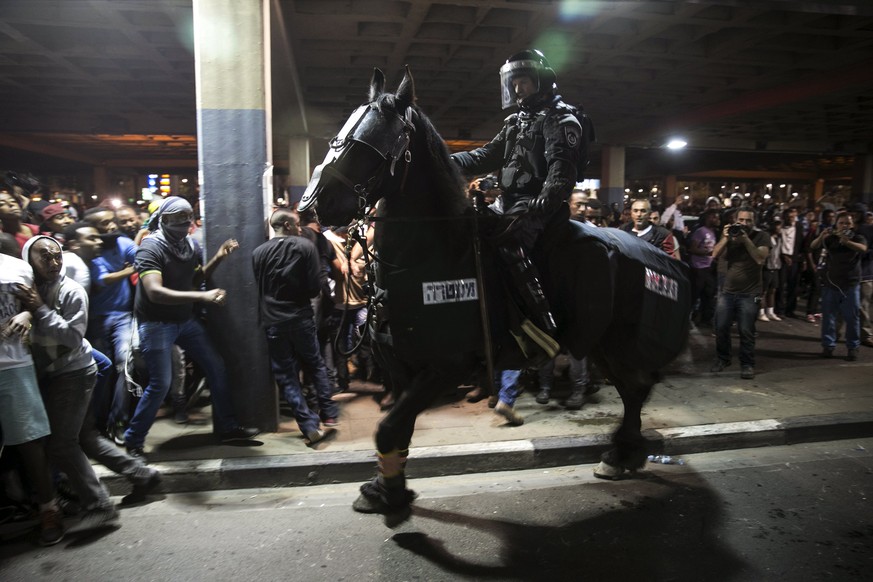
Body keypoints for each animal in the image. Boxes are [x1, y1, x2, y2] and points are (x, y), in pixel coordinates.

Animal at [300, 67, 688, 516]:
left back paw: (622, 452)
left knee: (636, 388)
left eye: (372, 144)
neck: (434, 254)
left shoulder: (446, 368)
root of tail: (666, 258)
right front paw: (388, 488)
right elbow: (395, 429)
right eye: (338, 138)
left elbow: (390, 427)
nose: (313, 203)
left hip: (619, 345)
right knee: (633, 390)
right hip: (602, 345)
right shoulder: (402, 369)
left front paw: (388, 494)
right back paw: (622, 453)